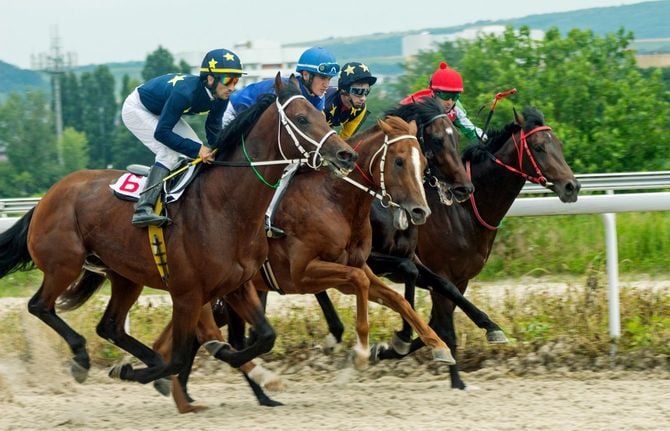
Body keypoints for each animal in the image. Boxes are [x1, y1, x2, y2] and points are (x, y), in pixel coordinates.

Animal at [0, 74, 358, 388]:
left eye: (322, 114)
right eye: (301, 119)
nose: (346, 154)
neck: (224, 206)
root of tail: (48, 196)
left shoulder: (237, 284)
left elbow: (264, 337)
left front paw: (247, 365)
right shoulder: (187, 294)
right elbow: (180, 356)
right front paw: (136, 371)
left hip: (125, 276)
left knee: (110, 326)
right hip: (64, 263)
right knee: (39, 306)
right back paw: (82, 358)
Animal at [155, 115, 457, 412]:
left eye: (424, 162)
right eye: (399, 161)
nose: (420, 211)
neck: (333, 200)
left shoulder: (355, 268)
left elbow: (398, 299)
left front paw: (437, 346)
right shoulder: (304, 274)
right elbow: (361, 284)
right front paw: (359, 353)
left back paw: (176, 386)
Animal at [375, 106, 581, 389]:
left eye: (558, 144)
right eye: (539, 147)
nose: (572, 186)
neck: (462, 211)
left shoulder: (460, 281)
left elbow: (436, 324)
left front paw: (386, 350)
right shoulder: (441, 276)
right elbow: (445, 328)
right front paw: (457, 382)